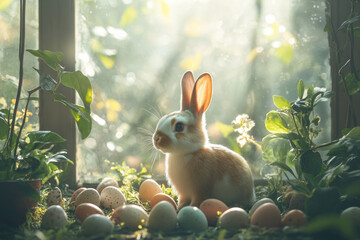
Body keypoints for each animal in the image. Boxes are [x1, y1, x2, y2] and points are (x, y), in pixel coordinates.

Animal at [153, 71, 255, 210]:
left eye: (179, 126)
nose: (156, 139)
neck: (186, 154)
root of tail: (252, 194)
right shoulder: (183, 193)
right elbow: (183, 200)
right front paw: (179, 208)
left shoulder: (201, 187)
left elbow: (198, 199)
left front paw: (192, 207)